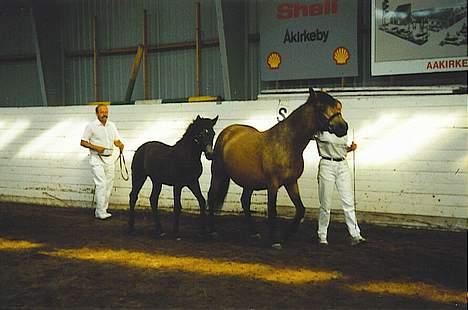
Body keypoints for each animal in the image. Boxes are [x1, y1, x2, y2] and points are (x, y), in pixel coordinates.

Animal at [207, 88, 348, 248]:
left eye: (337, 107)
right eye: (321, 107)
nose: (343, 127)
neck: (287, 143)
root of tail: (227, 131)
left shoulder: (291, 182)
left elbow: (300, 209)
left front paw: (286, 235)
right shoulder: (273, 184)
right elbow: (272, 210)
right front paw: (275, 240)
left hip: (249, 181)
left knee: (244, 201)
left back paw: (254, 232)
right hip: (218, 173)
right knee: (211, 196)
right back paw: (212, 231)